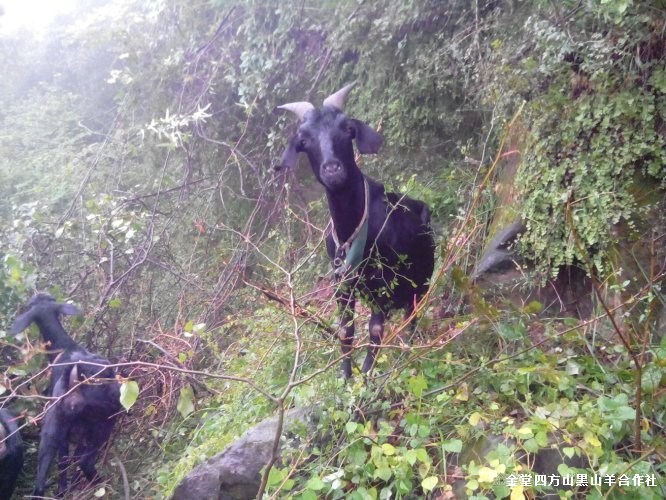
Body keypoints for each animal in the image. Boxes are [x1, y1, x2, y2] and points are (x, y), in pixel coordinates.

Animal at [9, 292, 120, 496]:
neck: (65, 349)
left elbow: (64, 461)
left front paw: (63, 489)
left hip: (52, 427)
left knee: (41, 481)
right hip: (103, 420)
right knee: (85, 461)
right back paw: (102, 484)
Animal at [274, 83, 436, 378]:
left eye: (347, 129)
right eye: (304, 140)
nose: (332, 169)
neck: (353, 230)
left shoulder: (384, 282)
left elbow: (375, 329)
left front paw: (368, 376)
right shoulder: (341, 282)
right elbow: (345, 331)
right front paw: (346, 377)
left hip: (421, 277)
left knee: (413, 312)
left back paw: (407, 351)